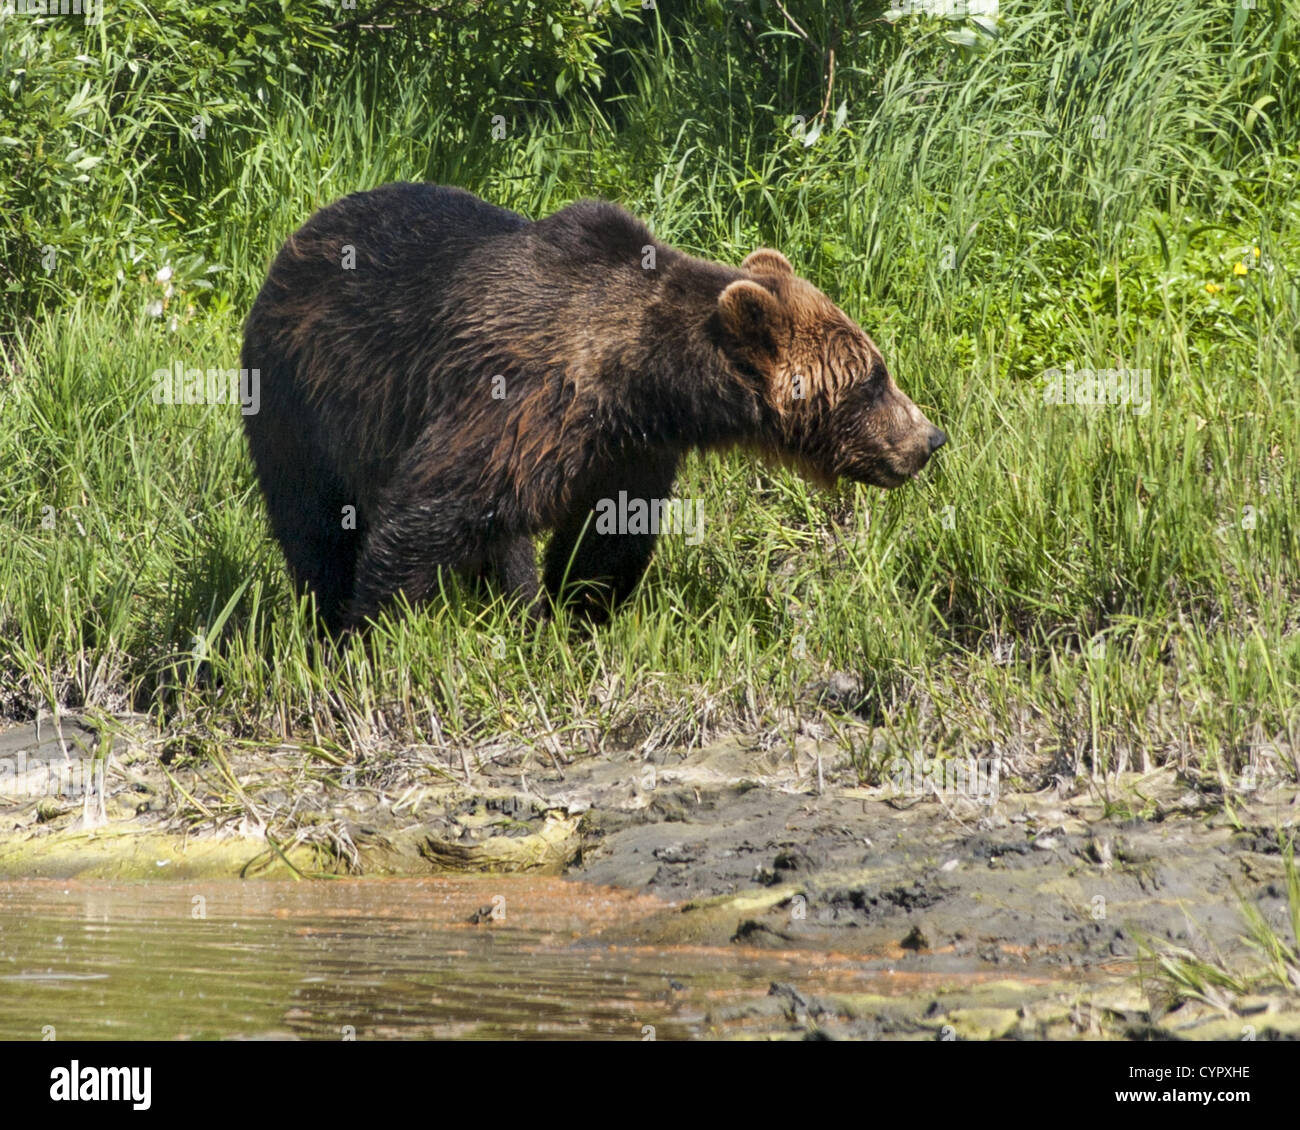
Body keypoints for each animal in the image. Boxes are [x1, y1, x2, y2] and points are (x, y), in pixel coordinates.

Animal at [239, 182, 941, 629]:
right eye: (873, 377)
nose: (929, 439)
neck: (634, 381)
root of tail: (295, 238)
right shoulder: (514, 398)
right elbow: (429, 509)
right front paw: (368, 634)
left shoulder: (632, 448)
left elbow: (609, 534)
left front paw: (575, 616)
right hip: (295, 394)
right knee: (314, 517)